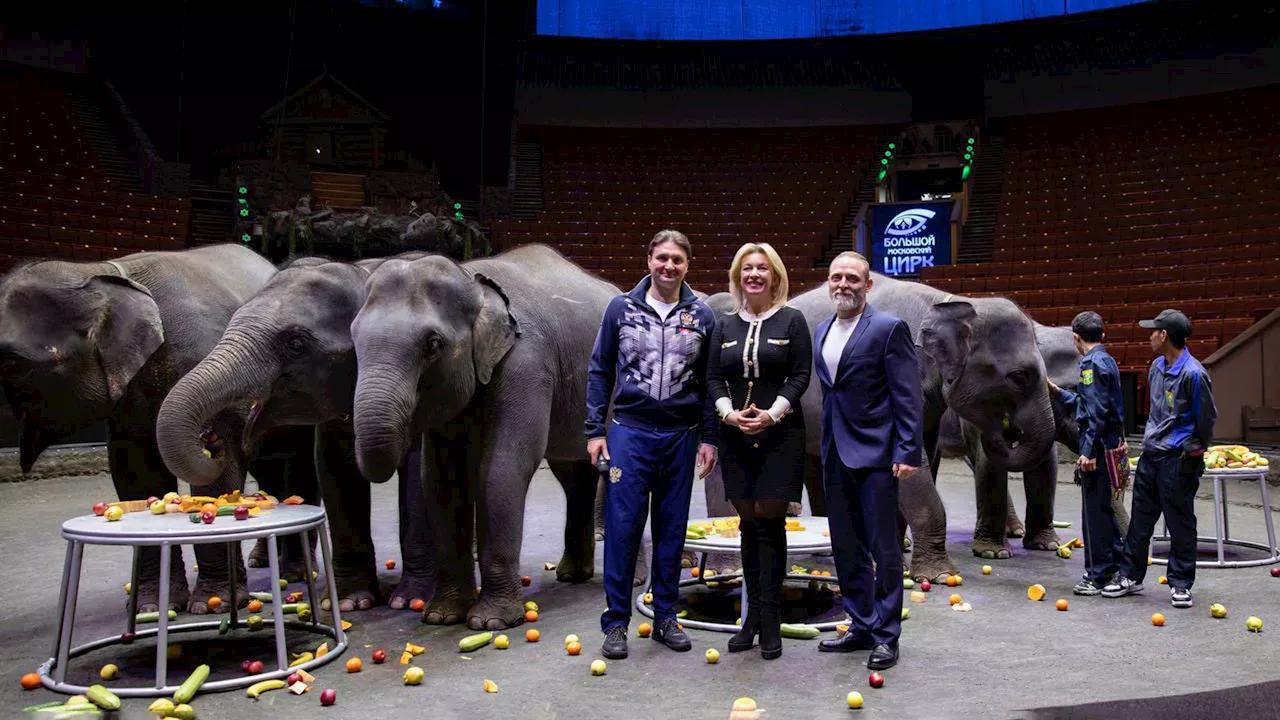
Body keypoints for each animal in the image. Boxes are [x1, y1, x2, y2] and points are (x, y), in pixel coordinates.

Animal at [0, 244, 307, 609]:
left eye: (12, 362)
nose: (209, 439)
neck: (103, 272)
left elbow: (217, 479)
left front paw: (212, 602)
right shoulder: (126, 405)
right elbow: (135, 471)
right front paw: (154, 605)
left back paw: (295, 573)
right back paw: (263, 559)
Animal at [155, 252, 440, 609]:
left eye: (295, 343)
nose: (211, 440)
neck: (362, 272)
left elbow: (416, 471)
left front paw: (410, 599)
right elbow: (333, 467)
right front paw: (351, 603)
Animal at [345, 243, 614, 625]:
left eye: (432, 344)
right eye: (353, 339)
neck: (471, 279)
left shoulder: (527, 364)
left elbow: (502, 468)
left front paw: (492, 621)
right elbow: (441, 479)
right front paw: (441, 616)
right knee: (572, 476)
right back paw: (571, 575)